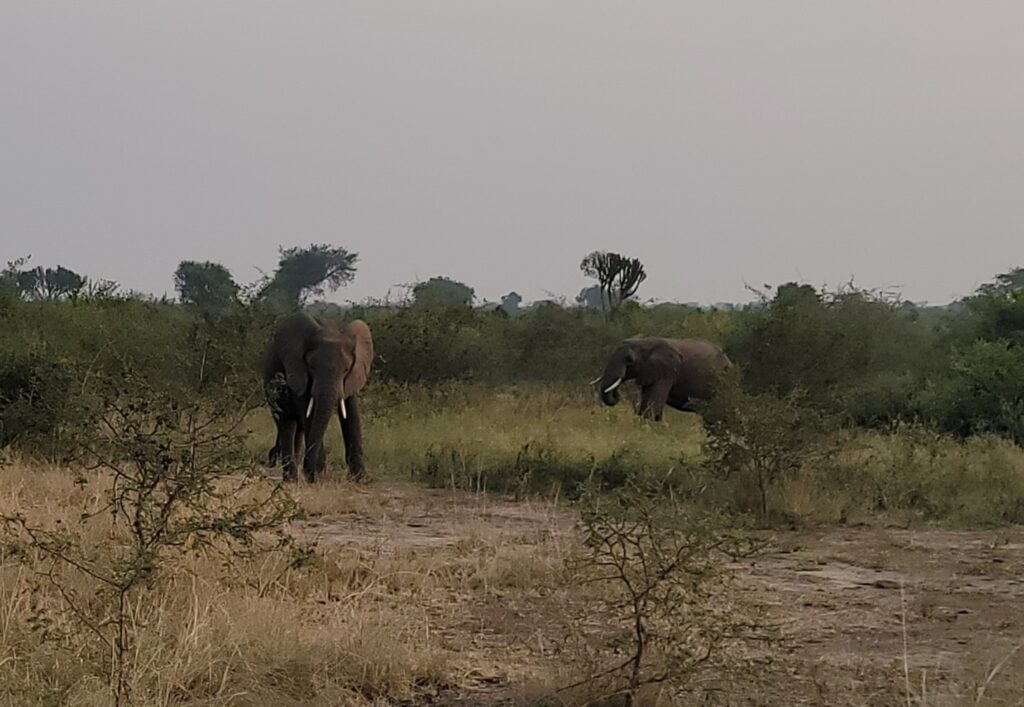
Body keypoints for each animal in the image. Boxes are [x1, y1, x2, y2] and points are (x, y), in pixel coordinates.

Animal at [262, 312, 373, 482]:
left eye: (346, 369)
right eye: (311, 367)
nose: (310, 473)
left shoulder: (353, 376)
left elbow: (352, 414)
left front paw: (360, 479)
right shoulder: (298, 371)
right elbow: (309, 415)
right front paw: (317, 475)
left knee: (296, 427)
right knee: (286, 423)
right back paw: (291, 480)